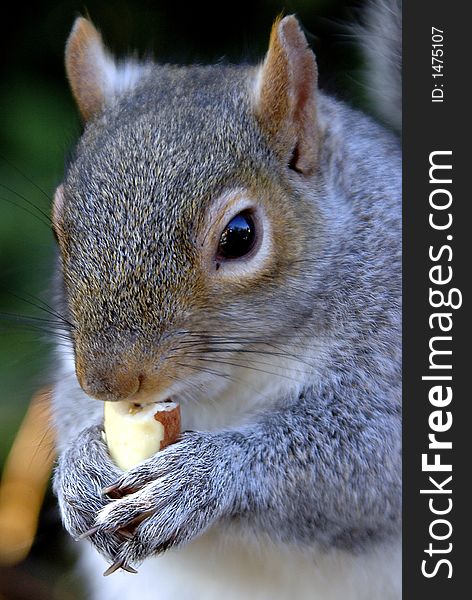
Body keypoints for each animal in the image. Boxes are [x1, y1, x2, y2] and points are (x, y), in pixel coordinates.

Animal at [50, 1, 402, 600]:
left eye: (240, 236)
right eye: (58, 228)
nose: (107, 382)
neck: (240, 371)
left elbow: (369, 459)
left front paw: (205, 474)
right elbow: (63, 410)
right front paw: (80, 465)